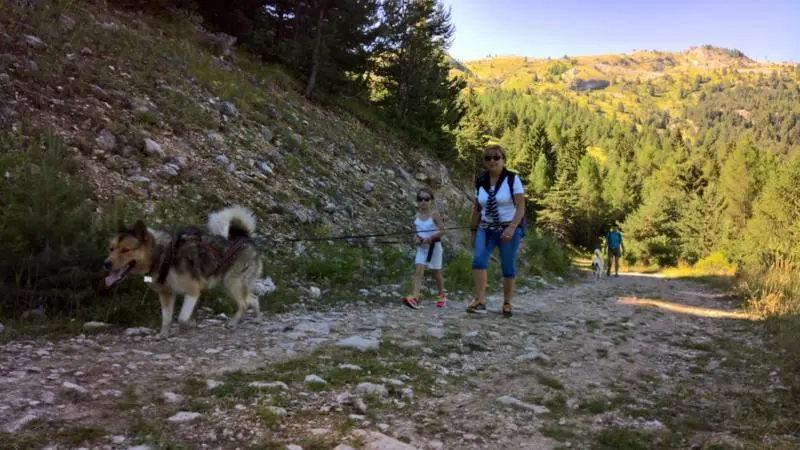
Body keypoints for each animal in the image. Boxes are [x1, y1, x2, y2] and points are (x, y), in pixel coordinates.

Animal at [104, 206, 262, 336]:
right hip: (227, 284)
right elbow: (166, 319)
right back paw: (257, 318)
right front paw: (163, 335)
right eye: (111, 249)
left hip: (232, 283)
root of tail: (244, 237)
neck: (163, 255)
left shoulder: (193, 291)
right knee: (253, 298)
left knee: (244, 304)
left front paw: (191, 324)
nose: (106, 264)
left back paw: (233, 323)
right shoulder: (166, 294)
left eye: (126, 250)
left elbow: (182, 318)